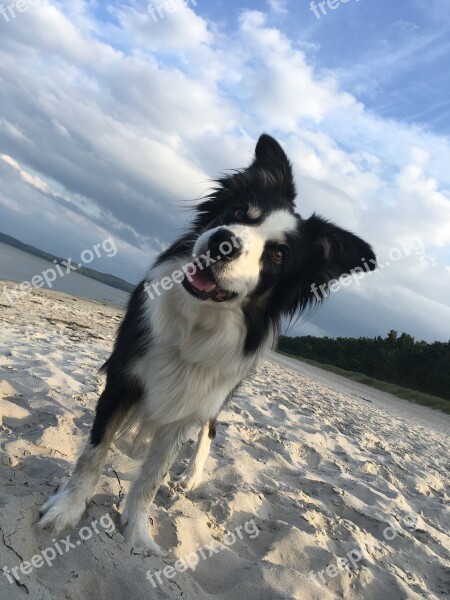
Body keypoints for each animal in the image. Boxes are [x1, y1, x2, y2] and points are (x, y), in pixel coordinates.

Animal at [37, 135, 376, 552]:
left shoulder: (193, 400)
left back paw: (192, 475)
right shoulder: (123, 377)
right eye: (238, 212)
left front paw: (137, 533)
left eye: (279, 254)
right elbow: (94, 451)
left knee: (209, 429)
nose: (223, 241)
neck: (198, 323)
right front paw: (67, 509)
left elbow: (152, 478)